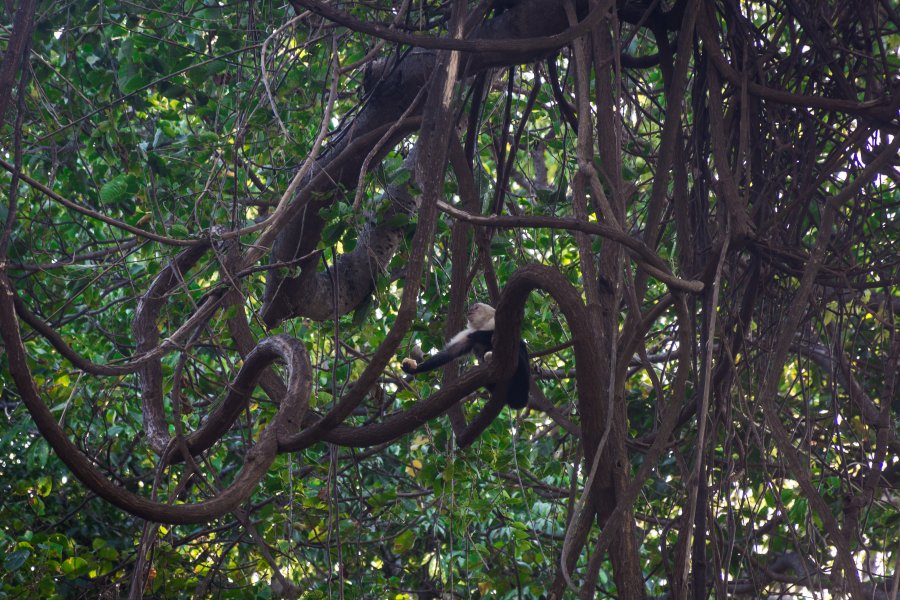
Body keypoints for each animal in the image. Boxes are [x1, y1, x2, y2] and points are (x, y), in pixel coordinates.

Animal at [400, 302, 532, 410]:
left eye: (476, 307)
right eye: (472, 308)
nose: (469, 310)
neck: (482, 325)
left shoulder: (496, 323)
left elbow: (505, 340)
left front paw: (478, 335)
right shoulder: (467, 333)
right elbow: (449, 353)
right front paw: (413, 369)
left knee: (518, 351)